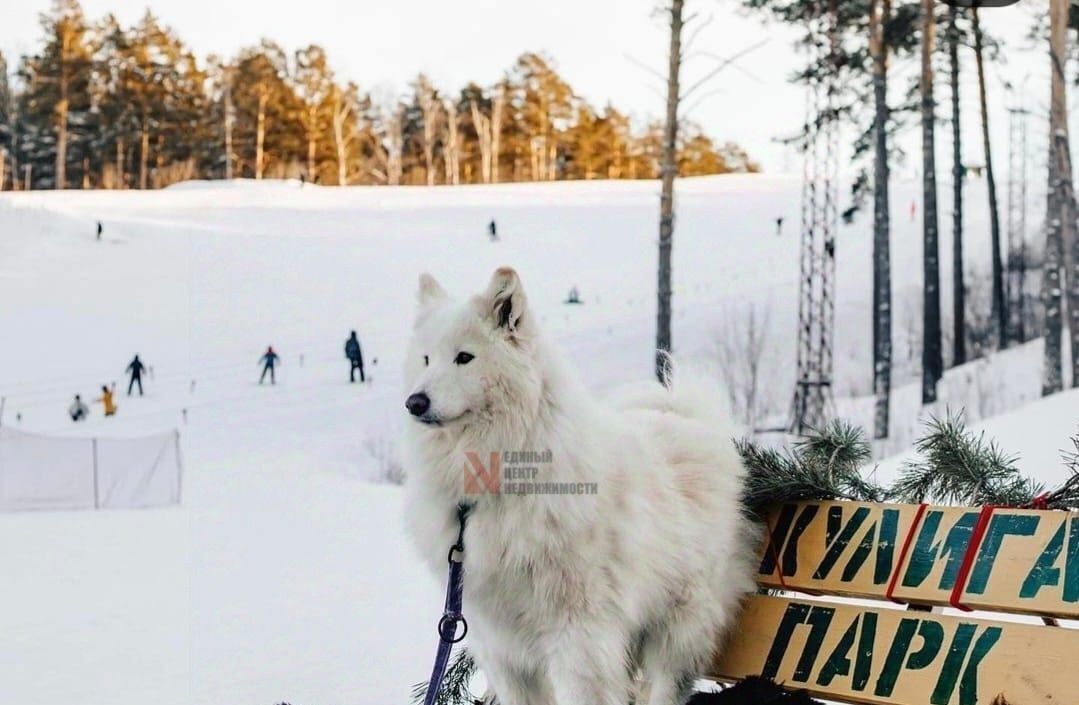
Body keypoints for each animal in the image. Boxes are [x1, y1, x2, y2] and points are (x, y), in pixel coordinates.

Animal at [405, 265, 759, 703]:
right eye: (425, 359)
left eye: (464, 358)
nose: (414, 402)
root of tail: (687, 416)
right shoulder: (502, 647)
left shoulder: (580, 636)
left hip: (681, 624)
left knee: (666, 685)